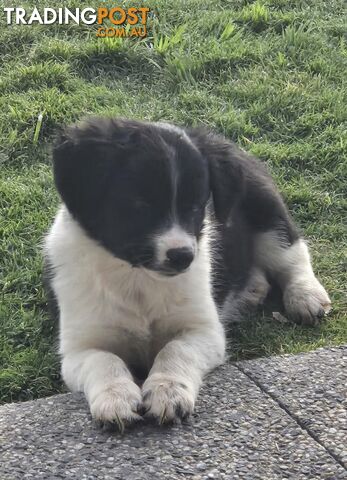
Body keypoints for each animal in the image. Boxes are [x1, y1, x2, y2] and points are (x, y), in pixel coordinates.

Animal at [44, 117, 332, 432]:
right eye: (139, 205)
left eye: (196, 207)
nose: (183, 256)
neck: (138, 277)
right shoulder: (78, 348)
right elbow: (104, 360)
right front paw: (115, 398)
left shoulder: (204, 330)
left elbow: (175, 349)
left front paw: (167, 392)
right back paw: (252, 290)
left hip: (265, 208)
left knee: (291, 252)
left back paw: (306, 295)